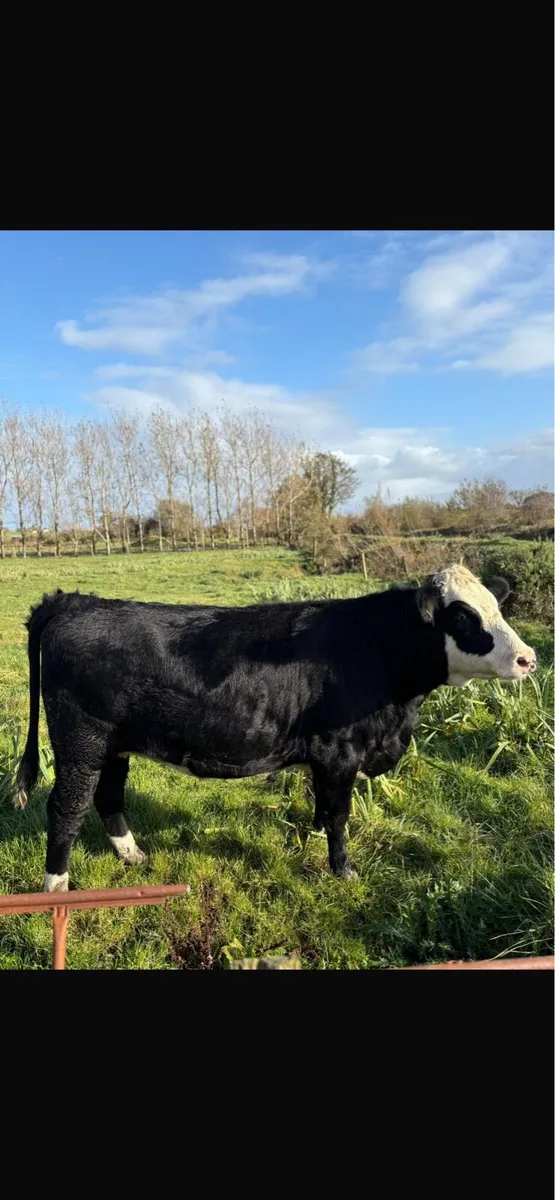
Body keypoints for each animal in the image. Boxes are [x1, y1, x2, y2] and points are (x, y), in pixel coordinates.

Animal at [14, 564, 536, 892]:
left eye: (497, 607)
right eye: (462, 616)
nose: (528, 659)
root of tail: (77, 602)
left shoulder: (328, 760)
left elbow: (321, 812)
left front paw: (311, 846)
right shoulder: (340, 753)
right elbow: (339, 817)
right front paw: (343, 873)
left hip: (115, 743)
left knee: (108, 795)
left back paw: (133, 856)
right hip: (80, 740)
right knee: (66, 807)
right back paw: (56, 888)